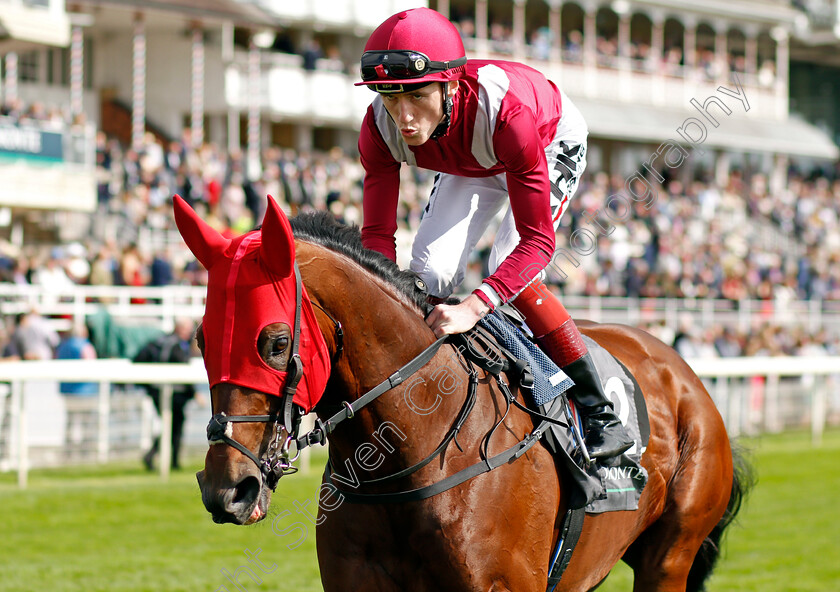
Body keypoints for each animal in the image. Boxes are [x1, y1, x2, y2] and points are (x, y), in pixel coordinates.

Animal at [174, 197, 752, 592]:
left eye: (275, 343)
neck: (412, 454)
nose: (228, 489)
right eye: (201, 339)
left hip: (668, 558)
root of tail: (683, 372)